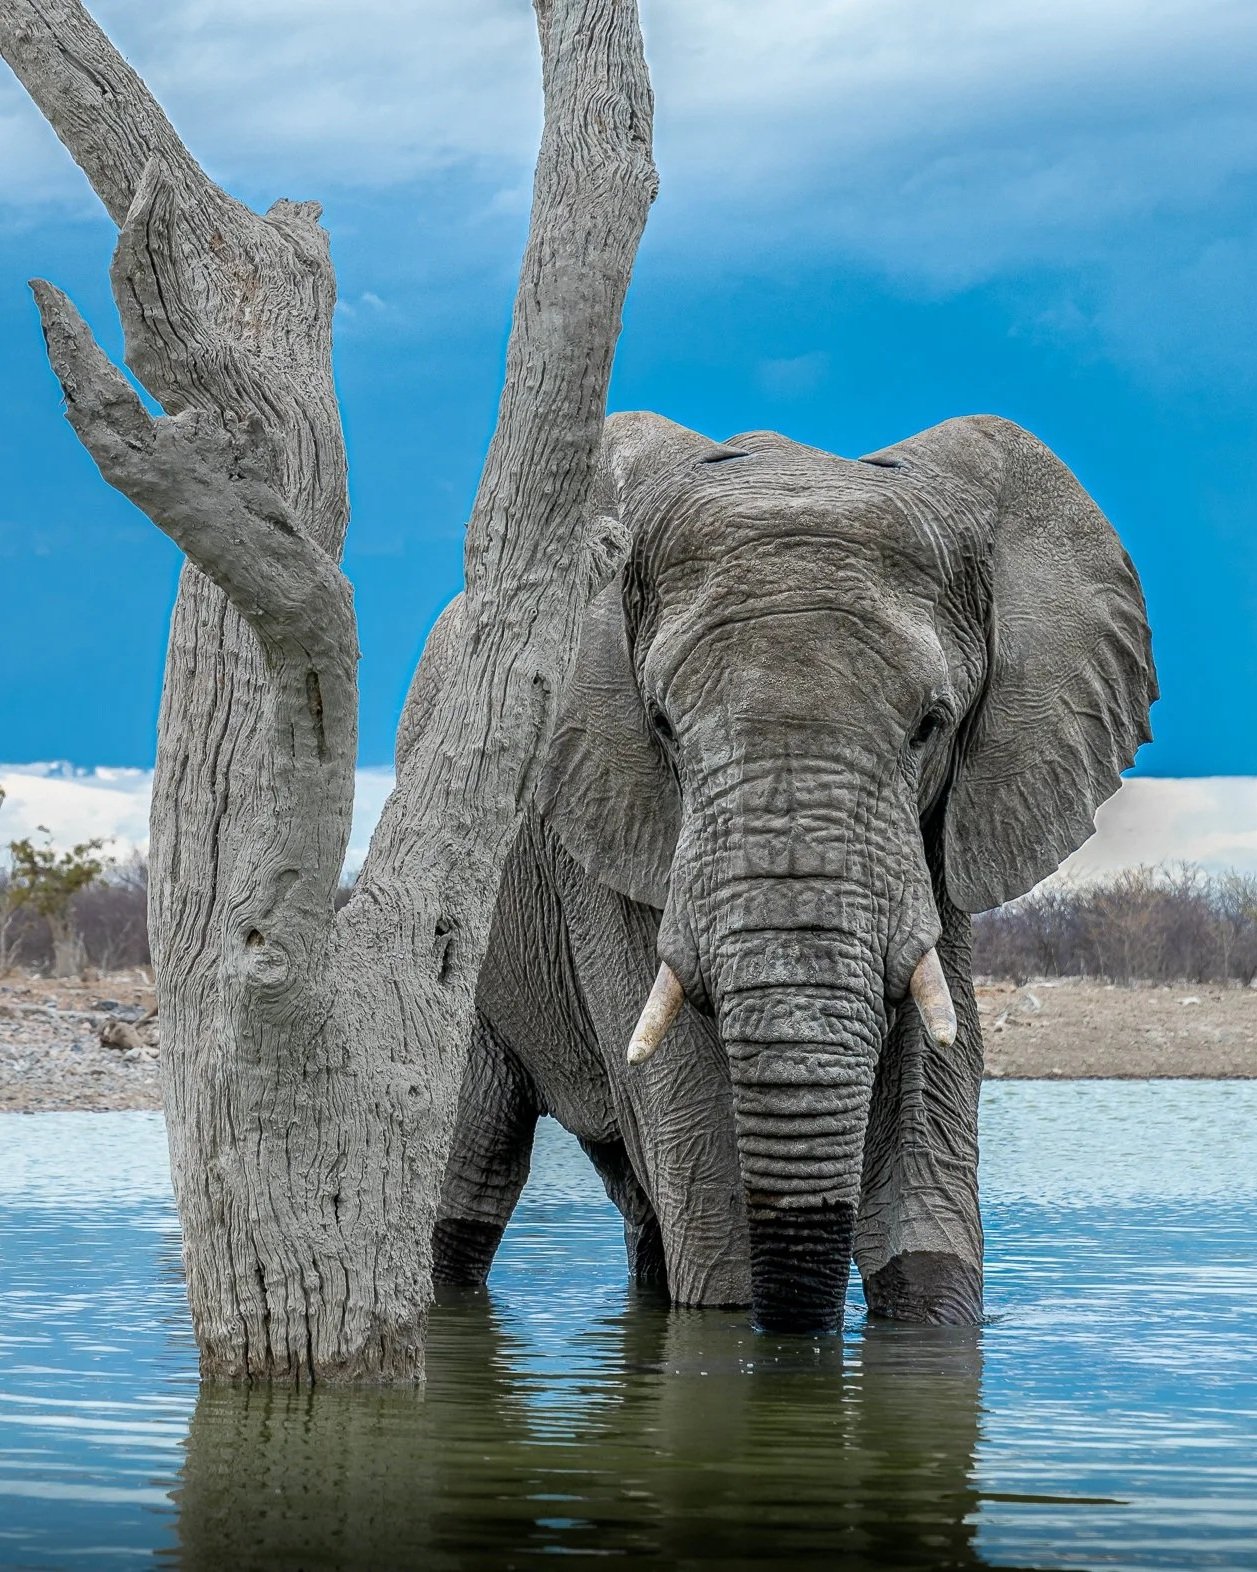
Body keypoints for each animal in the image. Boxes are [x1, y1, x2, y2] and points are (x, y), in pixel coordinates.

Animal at [419, 410, 1156, 1335]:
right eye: (661, 723)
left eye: (930, 724)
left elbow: (924, 1097)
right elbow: (697, 1121)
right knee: (467, 1168)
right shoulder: (601, 823)